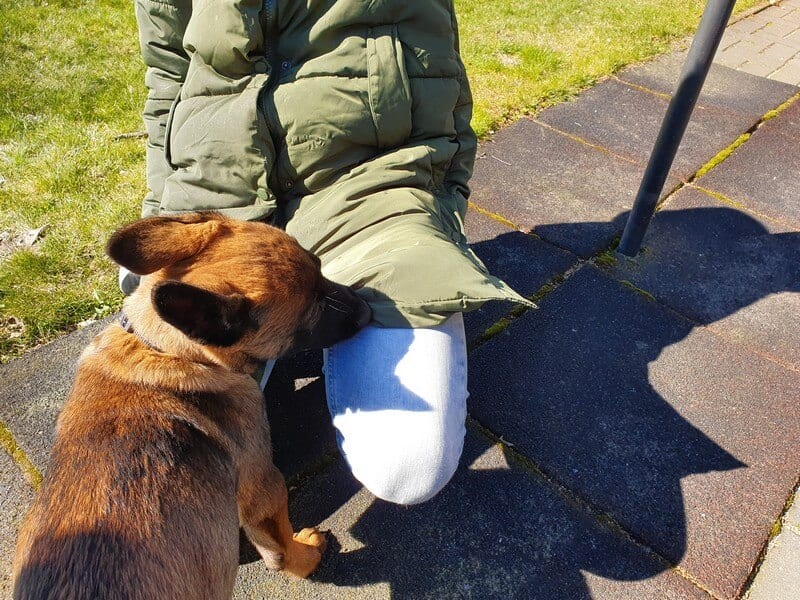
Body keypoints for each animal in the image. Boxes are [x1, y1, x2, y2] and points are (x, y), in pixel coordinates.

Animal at [10, 213, 372, 596]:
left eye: (320, 266)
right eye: (312, 313)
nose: (369, 310)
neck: (163, 349)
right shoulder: (264, 489)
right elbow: (281, 549)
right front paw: (306, 557)